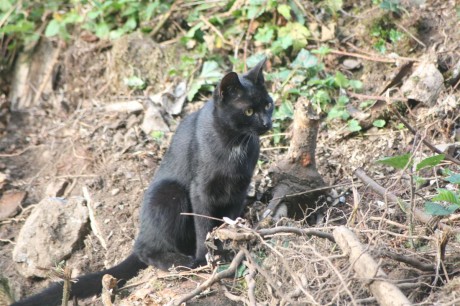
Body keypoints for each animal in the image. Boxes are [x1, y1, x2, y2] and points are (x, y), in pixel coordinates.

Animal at [11, 58, 274, 306]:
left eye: (268, 105)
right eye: (249, 111)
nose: (267, 123)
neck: (234, 143)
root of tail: (142, 232)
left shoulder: (239, 188)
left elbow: (228, 221)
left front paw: (228, 247)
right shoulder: (201, 189)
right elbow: (204, 225)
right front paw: (204, 258)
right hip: (169, 192)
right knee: (147, 250)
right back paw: (180, 262)